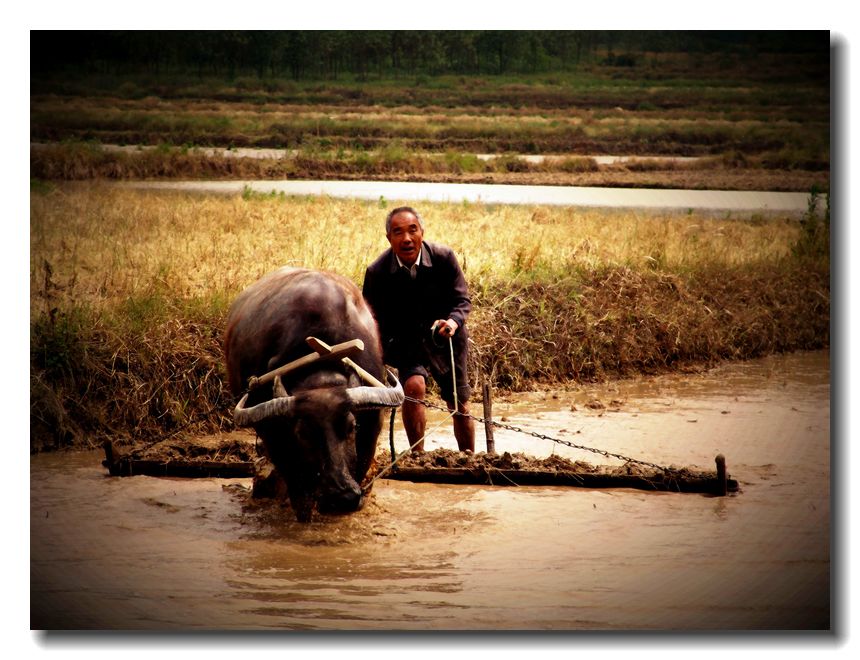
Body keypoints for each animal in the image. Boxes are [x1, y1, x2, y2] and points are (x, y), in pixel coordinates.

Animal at [225, 266, 406, 520]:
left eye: (351, 426)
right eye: (302, 433)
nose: (341, 496)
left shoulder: (372, 425)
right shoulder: (272, 432)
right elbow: (296, 485)